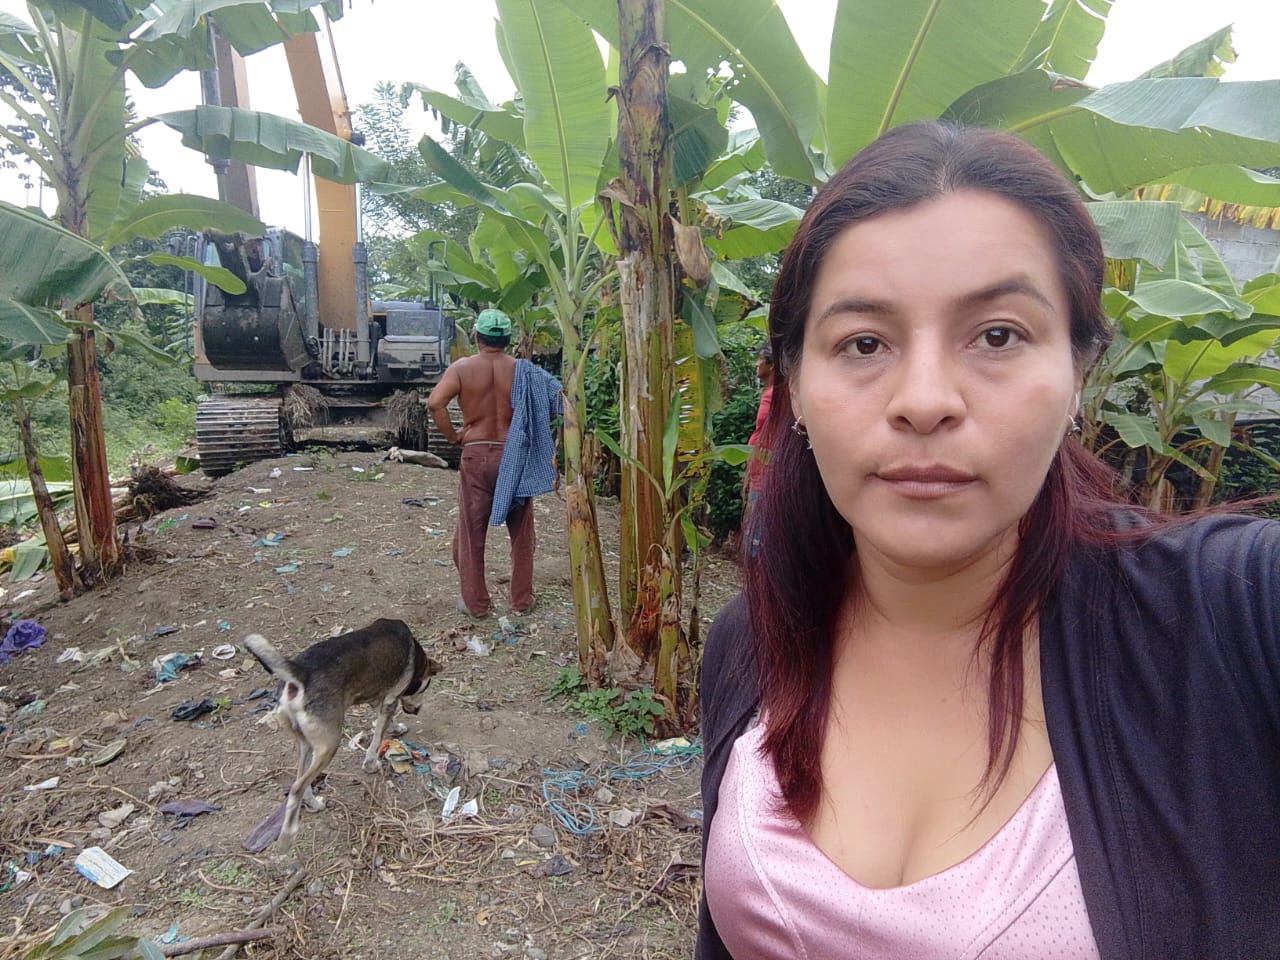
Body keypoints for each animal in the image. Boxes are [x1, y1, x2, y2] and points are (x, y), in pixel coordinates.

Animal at [244, 618, 442, 850]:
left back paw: (313, 804)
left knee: (300, 781)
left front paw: (395, 728)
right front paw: (371, 763)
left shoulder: (378, 699)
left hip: (307, 745)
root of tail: (301, 673)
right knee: (296, 788)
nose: (417, 710)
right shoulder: (390, 700)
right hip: (330, 745)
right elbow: (377, 738)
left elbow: (381, 723)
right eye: (425, 688)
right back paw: (287, 835)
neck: (417, 657)